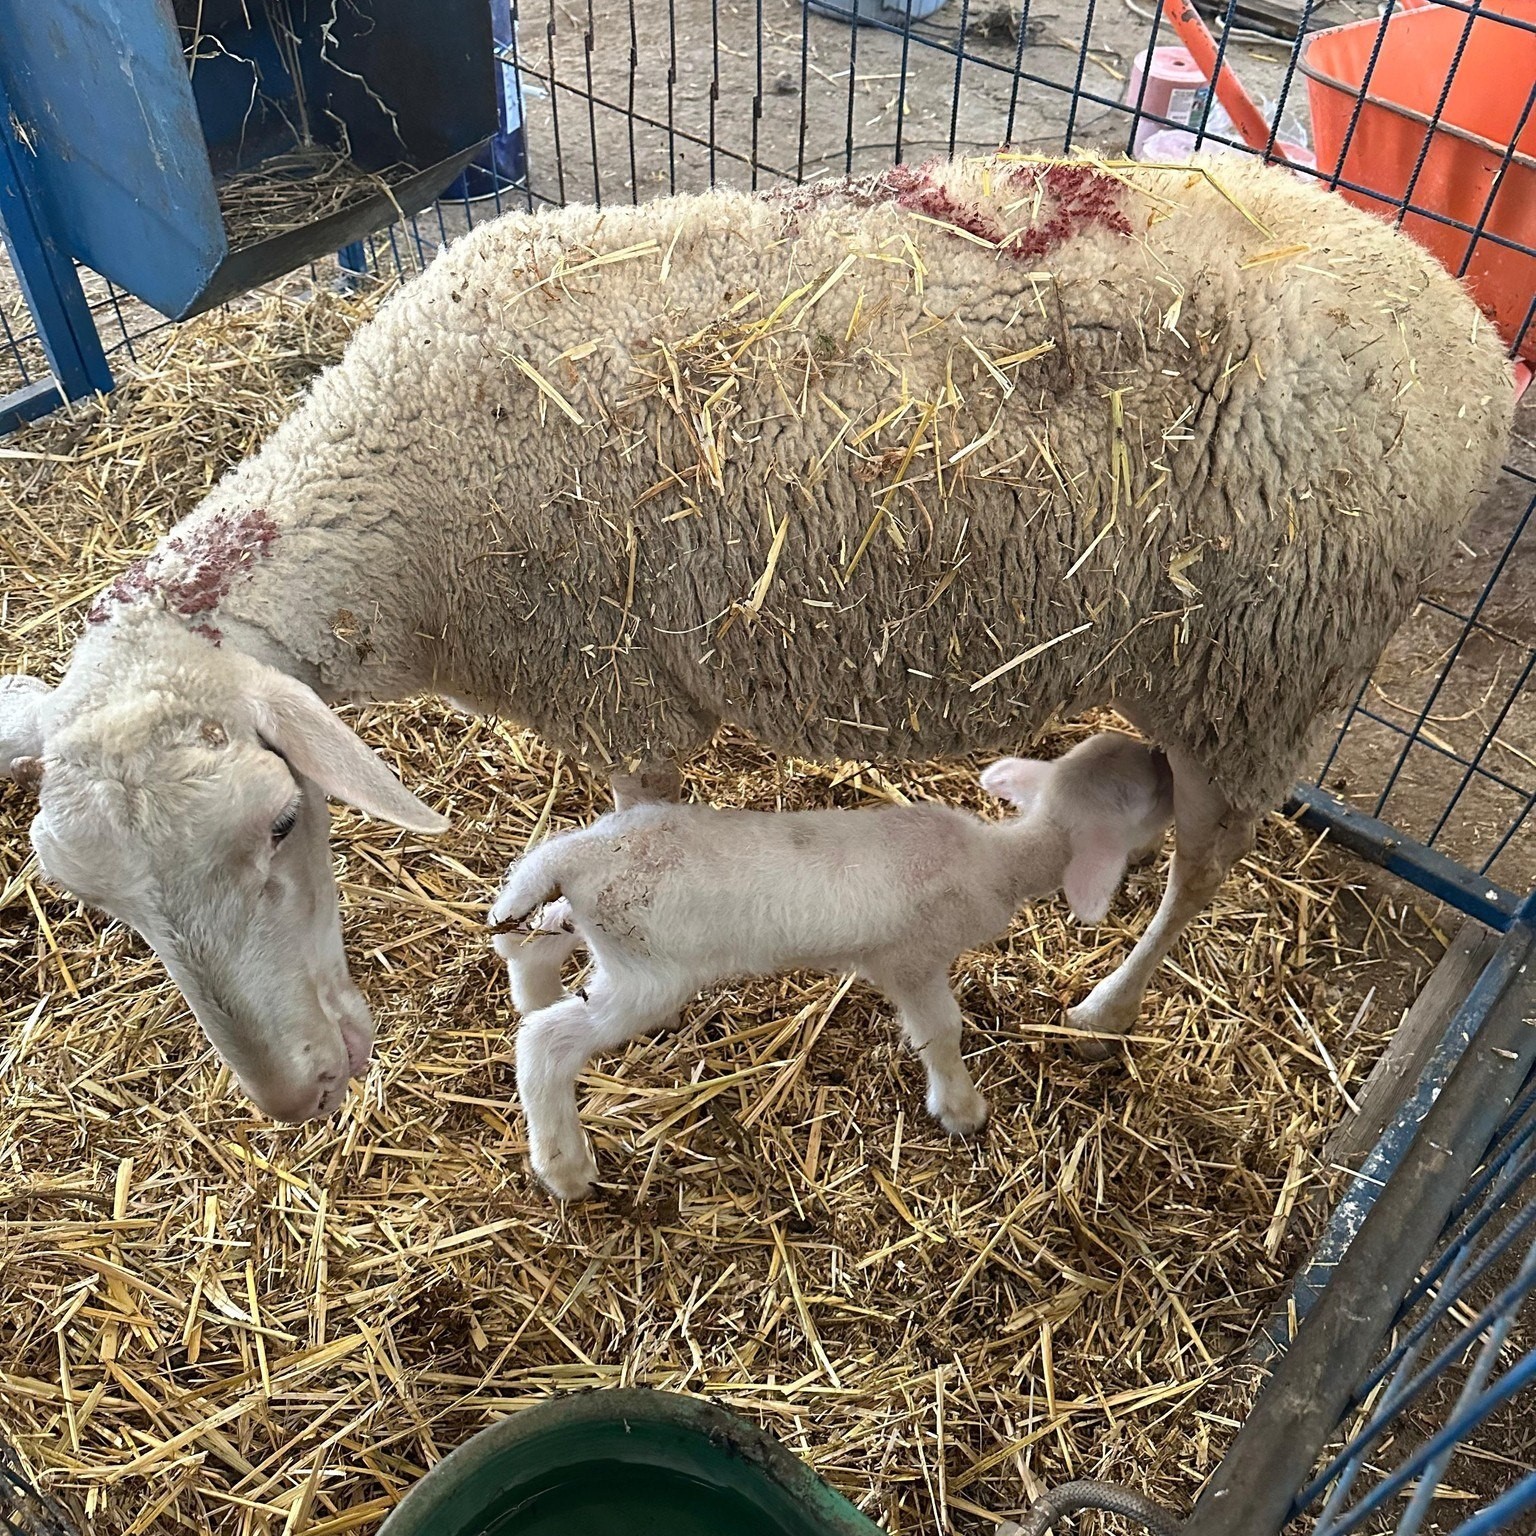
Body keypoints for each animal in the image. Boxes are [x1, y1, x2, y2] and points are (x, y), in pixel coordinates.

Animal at [0, 149, 1511, 1124]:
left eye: (280, 824)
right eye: (90, 899)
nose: (301, 1099)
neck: (406, 497)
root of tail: (1473, 341)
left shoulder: (622, 692)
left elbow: (622, 838)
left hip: (1270, 666)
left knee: (1204, 873)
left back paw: (1106, 1009)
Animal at [491, 731, 1173, 1198]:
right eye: (1144, 800)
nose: (1168, 762)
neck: (1000, 859)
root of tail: (577, 856)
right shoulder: (911, 959)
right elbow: (941, 1030)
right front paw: (960, 1110)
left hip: (599, 932)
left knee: (534, 941)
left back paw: (533, 989)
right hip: (649, 974)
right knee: (545, 1042)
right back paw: (565, 1168)